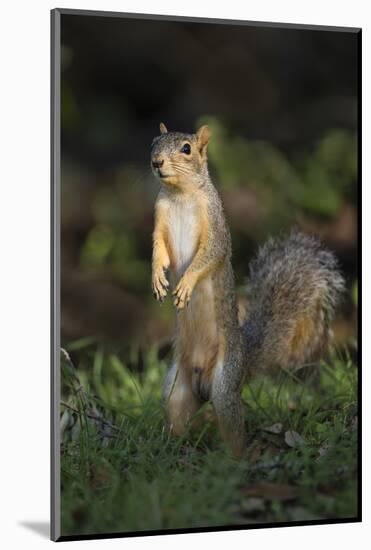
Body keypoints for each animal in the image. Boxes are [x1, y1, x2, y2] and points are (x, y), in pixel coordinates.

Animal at [150, 123, 344, 460]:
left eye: (186, 149)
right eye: (154, 142)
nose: (156, 162)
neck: (179, 196)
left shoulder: (215, 225)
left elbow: (209, 255)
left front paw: (186, 283)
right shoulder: (159, 216)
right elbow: (158, 250)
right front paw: (157, 278)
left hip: (225, 383)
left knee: (232, 425)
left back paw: (235, 460)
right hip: (176, 387)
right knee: (178, 415)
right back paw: (173, 448)